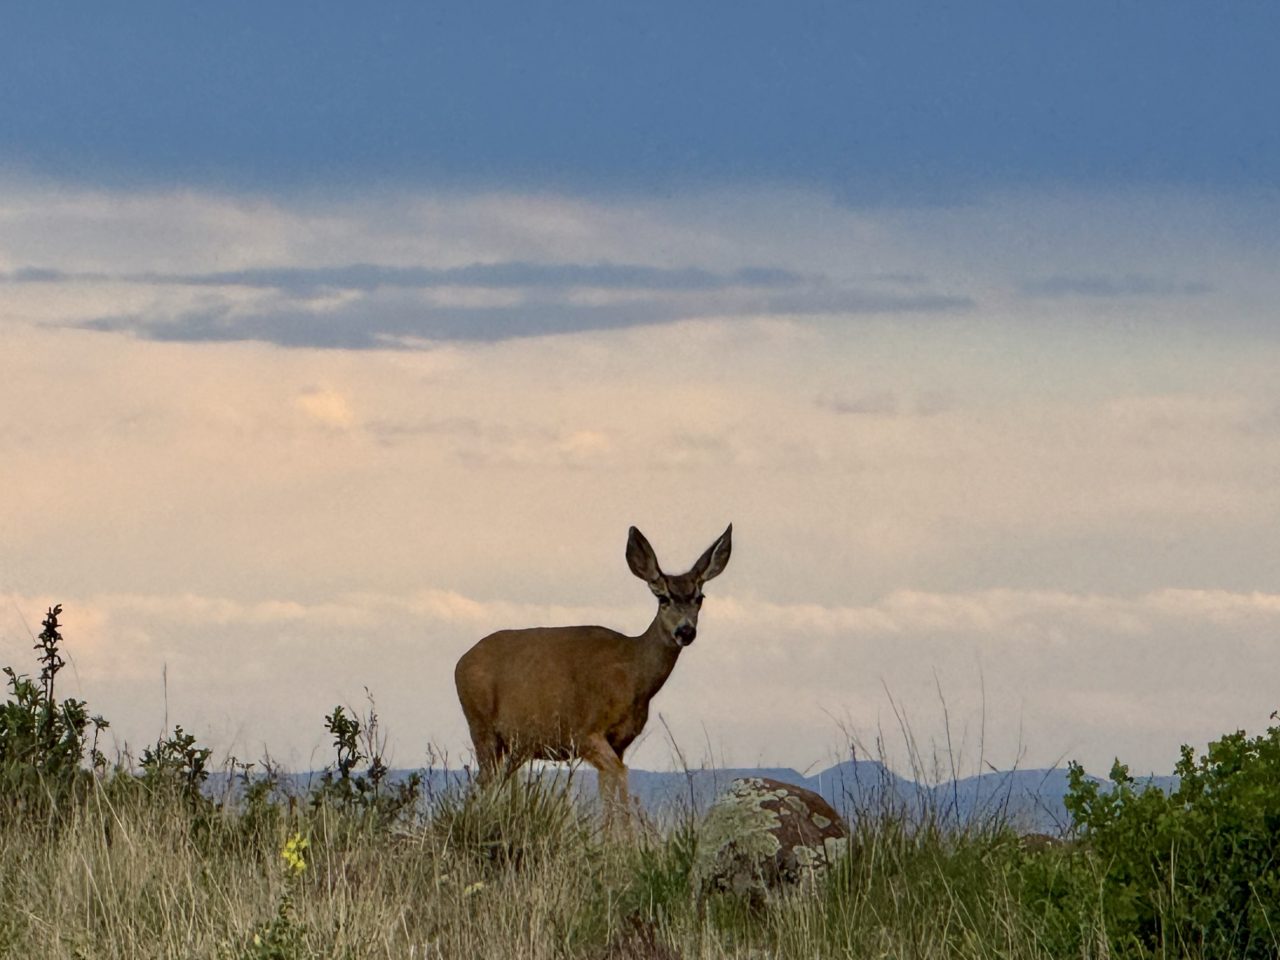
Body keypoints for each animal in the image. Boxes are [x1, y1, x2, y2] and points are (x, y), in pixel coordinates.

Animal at [454, 524, 732, 817]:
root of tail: (461, 662)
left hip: (512, 745)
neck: (633, 675)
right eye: (663, 598)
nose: (685, 631)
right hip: (481, 727)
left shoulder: (619, 742)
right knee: (483, 783)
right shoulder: (585, 732)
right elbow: (621, 774)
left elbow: (608, 791)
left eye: (699, 598)